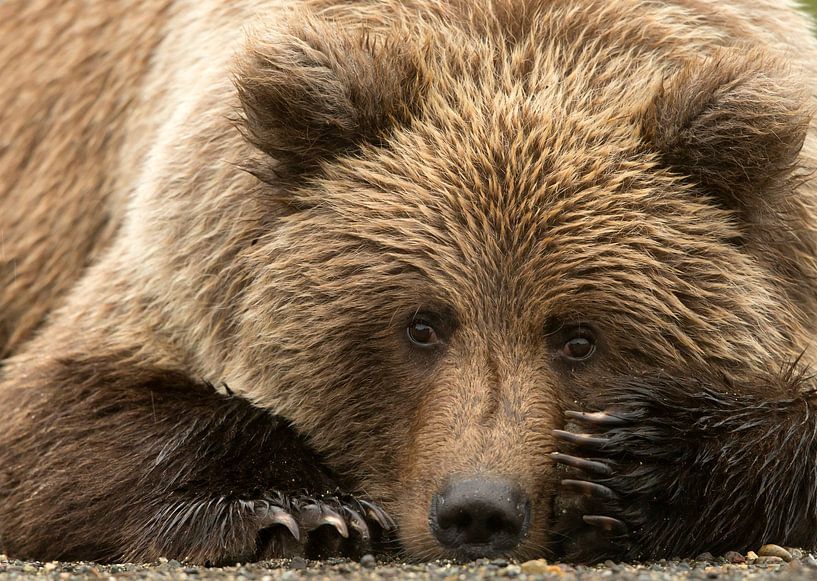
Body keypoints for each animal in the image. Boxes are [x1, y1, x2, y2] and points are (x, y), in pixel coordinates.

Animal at [1, 0, 816, 568]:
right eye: (420, 323)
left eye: (578, 336)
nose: (479, 509)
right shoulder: (176, 249)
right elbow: (54, 407)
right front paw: (299, 509)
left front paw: (635, 461)